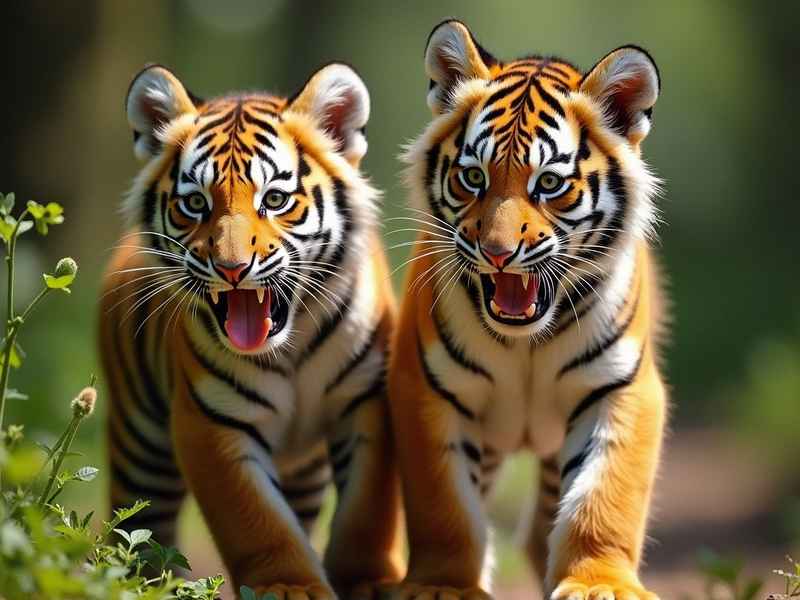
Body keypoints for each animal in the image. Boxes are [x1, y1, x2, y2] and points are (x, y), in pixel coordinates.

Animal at [99, 63, 403, 598]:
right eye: (195, 204)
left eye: (276, 199)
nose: (232, 268)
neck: (292, 344)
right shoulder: (213, 420)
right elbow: (258, 521)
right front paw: (290, 587)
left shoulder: (368, 404)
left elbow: (368, 510)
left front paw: (370, 581)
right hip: (140, 442)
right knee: (141, 527)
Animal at [388, 20, 667, 600]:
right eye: (473, 178)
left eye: (550, 184)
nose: (497, 252)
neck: (526, 343)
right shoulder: (428, 388)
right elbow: (444, 504)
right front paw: (443, 585)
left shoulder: (622, 388)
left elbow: (604, 496)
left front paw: (599, 584)